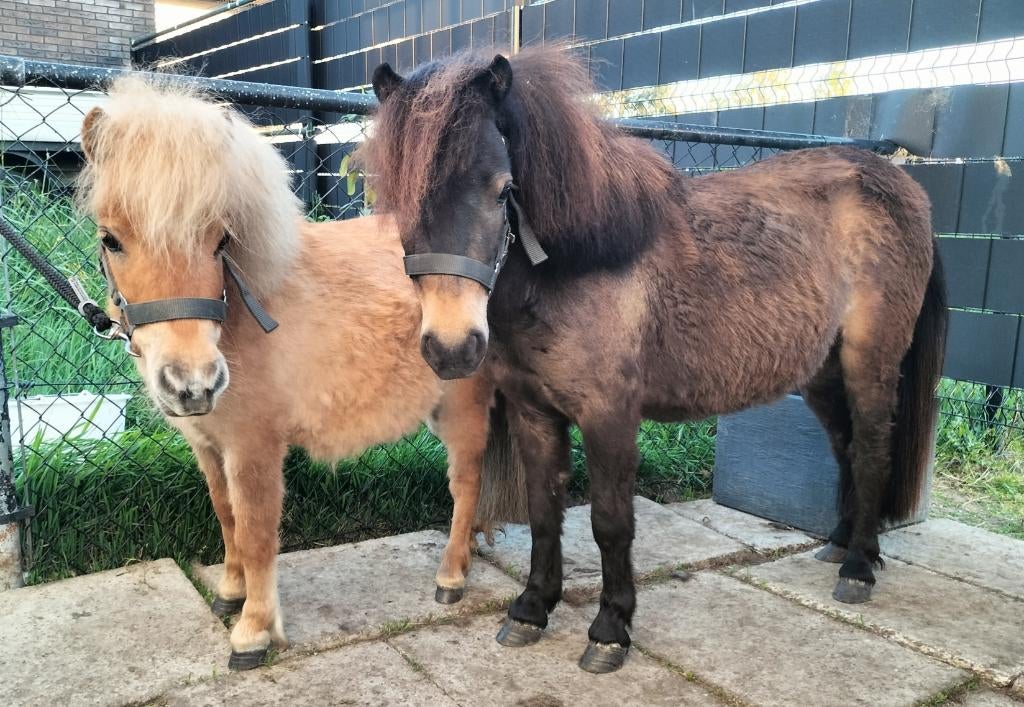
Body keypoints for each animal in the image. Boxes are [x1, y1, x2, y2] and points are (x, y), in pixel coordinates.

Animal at [76, 76, 523, 670]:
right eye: (111, 239)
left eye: (220, 239)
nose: (193, 384)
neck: (241, 312)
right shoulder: (209, 446)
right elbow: (227, 516)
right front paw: (230, 592)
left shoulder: (254, 449)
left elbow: (256, 531)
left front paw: (254, 630)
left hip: (462, 411)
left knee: (466, 483)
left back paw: (452, 575)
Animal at [358, 46, 948, 674]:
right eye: (397, 201)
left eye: (502, 190)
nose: (452, 347)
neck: (580, 261)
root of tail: (904, 185)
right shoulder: (533, 413)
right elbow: (544, 510)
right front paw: (532, 610)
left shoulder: (610, 416)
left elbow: (610, 522)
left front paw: (610, 630)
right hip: (821, 373)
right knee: (845, 447)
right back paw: (838, 544)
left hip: (870, 363)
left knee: (872, 451)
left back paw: (859, 567)